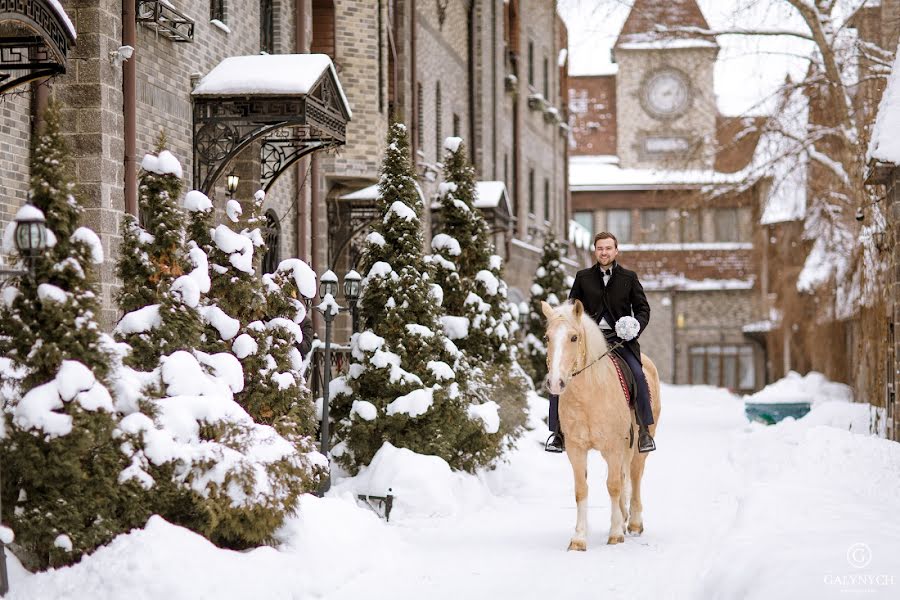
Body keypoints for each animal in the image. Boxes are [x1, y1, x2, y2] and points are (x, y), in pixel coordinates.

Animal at [540, 298, 660, 552]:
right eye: (547, 337)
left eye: (574, 337)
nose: (555, 383)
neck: (588, 395)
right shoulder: (576, 449)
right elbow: (581, 490)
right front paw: (579, 538)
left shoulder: (613, 446)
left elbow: (613, 485)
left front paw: (615, 535)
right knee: (624, 478)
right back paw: (623, 519)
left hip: (638, 446)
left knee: (634, 476)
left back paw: (634, 523)